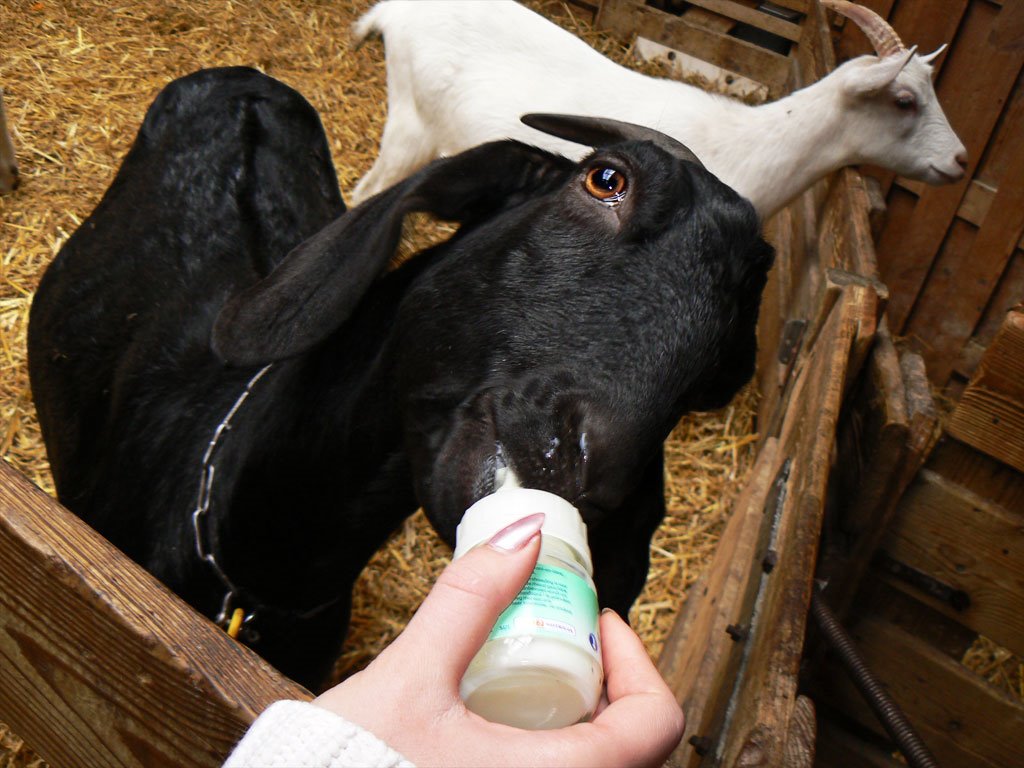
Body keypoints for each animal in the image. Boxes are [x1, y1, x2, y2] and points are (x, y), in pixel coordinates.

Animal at [348, 0, 962, 219]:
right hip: (410, 121)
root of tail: (395, 11)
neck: (751, 143)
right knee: (367, 191)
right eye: (904, 99)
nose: (958, 160)